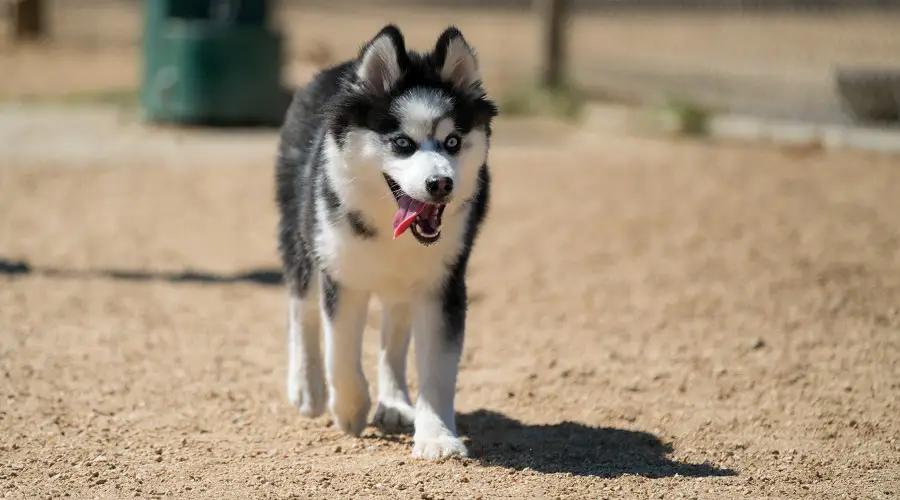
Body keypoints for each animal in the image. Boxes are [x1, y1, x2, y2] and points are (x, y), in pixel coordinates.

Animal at [276, 24, 500, 460]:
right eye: (402, 143)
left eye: (452, 142)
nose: (441, 184)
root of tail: (338, 69)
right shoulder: (341, 275)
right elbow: (340, 352)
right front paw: (349, 410)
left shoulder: (442, 284)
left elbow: (438, 369)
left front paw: (437, 437)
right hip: (302, 238)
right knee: (301, 310)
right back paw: (307, 388)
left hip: (403, 285)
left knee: (393, 337)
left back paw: (395, 401)